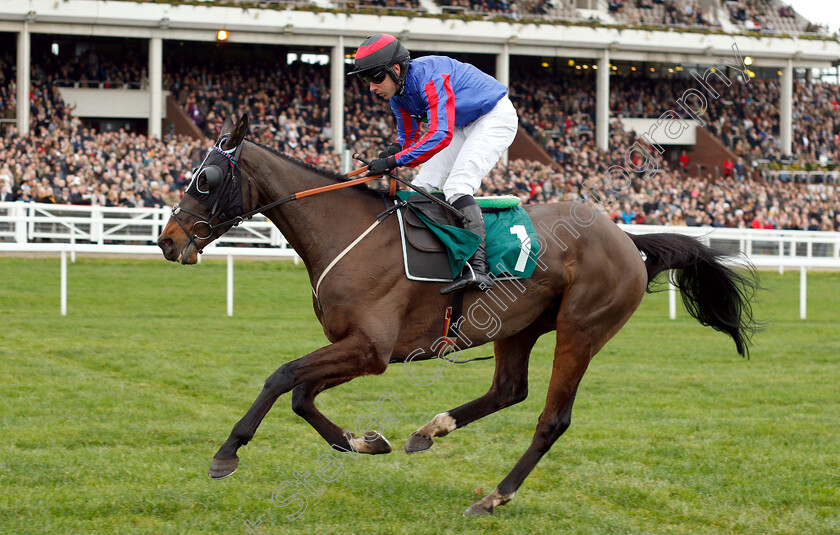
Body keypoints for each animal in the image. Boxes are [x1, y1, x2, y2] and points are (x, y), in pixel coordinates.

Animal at [158, 115, 760, 516]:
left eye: (206, 179)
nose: (167, 241)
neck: (347, 232)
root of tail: (627, 239)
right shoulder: (355, 347)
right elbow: (303, 396)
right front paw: (366, 441)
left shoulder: (371, 349)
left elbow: (281, 377)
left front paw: (227, 452)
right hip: (517, 326)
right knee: (509, 390)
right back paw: (430, 430)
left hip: (581, 329)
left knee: (552, 418)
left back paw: (495, 495)